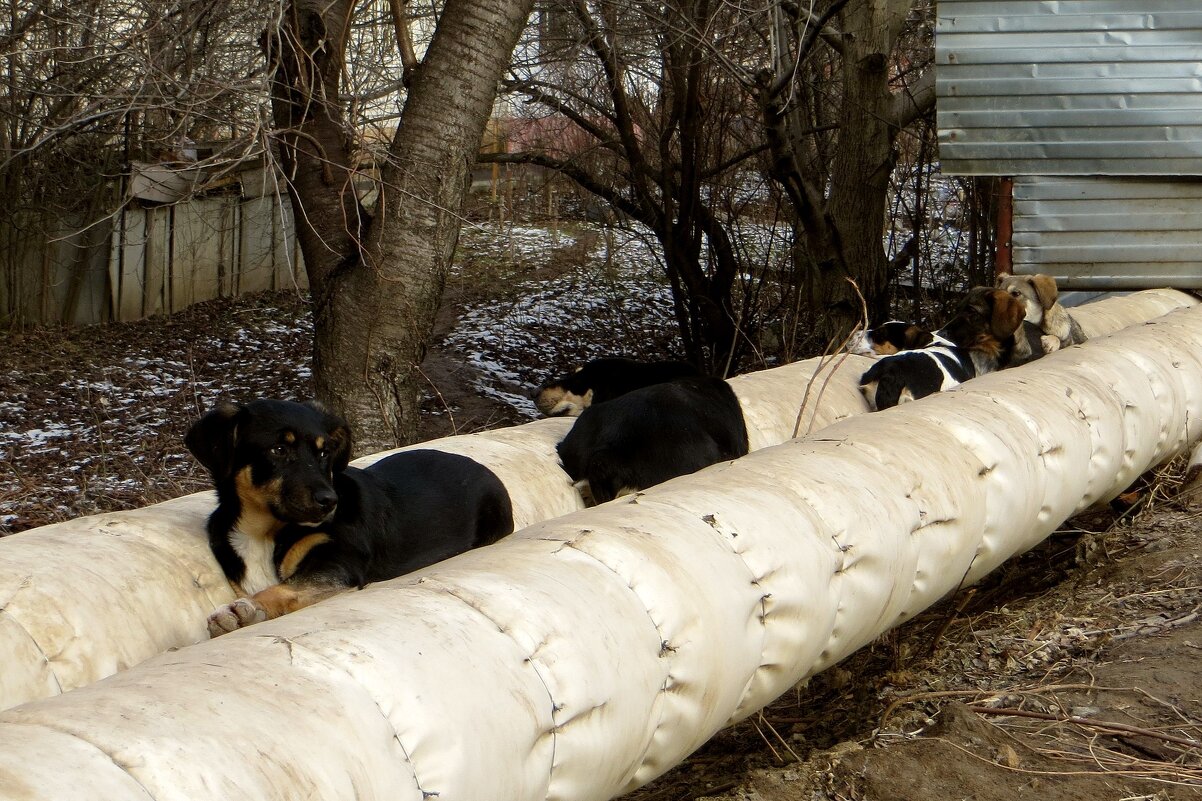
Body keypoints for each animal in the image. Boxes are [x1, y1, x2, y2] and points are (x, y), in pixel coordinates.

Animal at [185, 399, 514, 635]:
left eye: (324, 453)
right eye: (278, 449)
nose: (330, 501)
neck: (264, 532)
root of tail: (483, 467)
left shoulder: (338, 562)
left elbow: (284, 588)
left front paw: (245, 610)